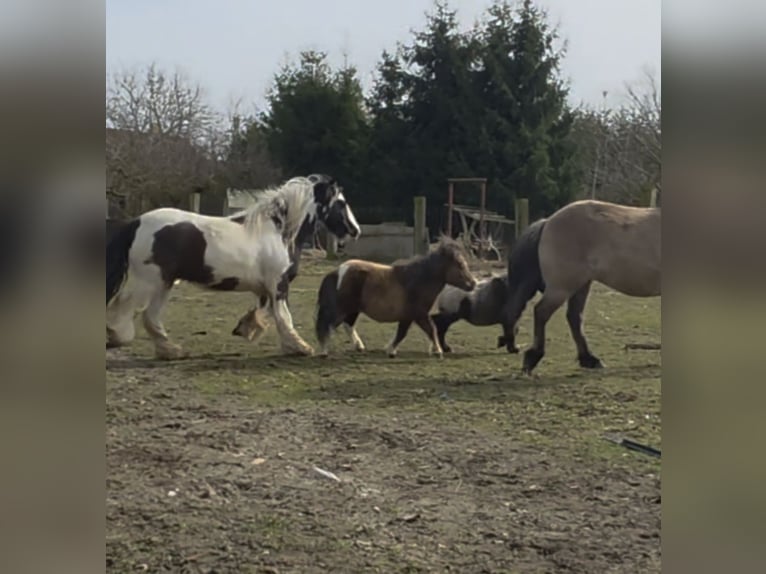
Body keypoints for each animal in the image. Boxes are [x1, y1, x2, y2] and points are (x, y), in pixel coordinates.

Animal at [314, 237, 477, 358]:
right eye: (460, 265)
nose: (473, 283)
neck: (418, 281)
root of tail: (337, 272)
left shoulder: (409, 316)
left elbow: (404, 332)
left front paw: (390, 350)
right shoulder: (418, 314)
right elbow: (430, 329)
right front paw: (438, 351)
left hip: (353, 310)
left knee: (347, 325)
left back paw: (359, 347)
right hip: (343, 309)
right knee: (328, 325)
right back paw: (324, 351)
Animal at [501, 199, 660, 374]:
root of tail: (548, 222)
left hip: (581, 285)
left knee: (574, 317)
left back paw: (589, 359)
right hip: (563, 288)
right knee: (541, 312)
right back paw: (534, 357)